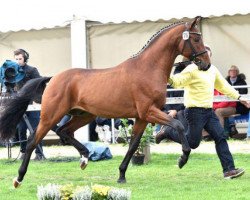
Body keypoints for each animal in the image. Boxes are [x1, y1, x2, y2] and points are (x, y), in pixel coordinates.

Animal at [0, 16, 210, 188]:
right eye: (196, 39)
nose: (206, 64)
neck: (148, 69)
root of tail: (52, 79)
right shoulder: (149, 112)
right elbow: (177, 125)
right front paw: (182, 159)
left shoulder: (141, 118)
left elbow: (133, 145)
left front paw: (121, 175)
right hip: (50, 115)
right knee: (32, 141)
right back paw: (18, 179)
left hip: (84, 115)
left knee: (64, 132)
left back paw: (85, 158)